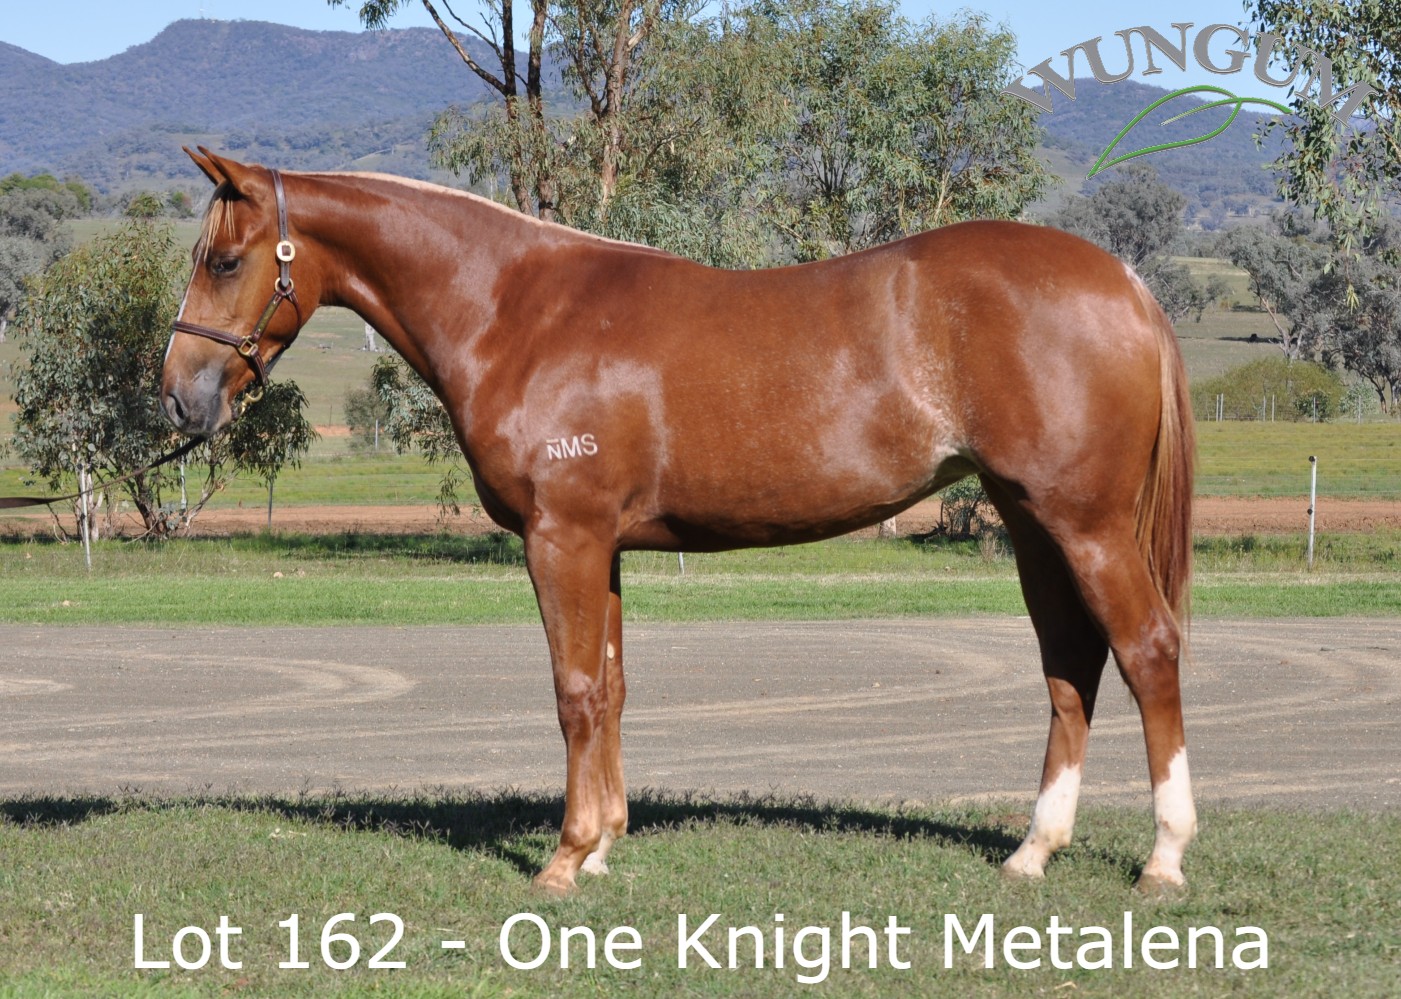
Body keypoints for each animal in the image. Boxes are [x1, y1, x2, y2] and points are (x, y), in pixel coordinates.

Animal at [161, 148, 1196, 895]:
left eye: (224, 259)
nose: (178, 398)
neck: (516, 310)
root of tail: (1125, 282)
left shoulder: (563, 539)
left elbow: (575, 691)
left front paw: (564, 858)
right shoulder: (605, 546)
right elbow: (613, 689)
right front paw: (605, 845)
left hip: (1086, 524)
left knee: (1145, 650)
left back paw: (1162, 857)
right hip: (1032, 523)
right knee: (1070, 666)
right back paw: (1032, 850)